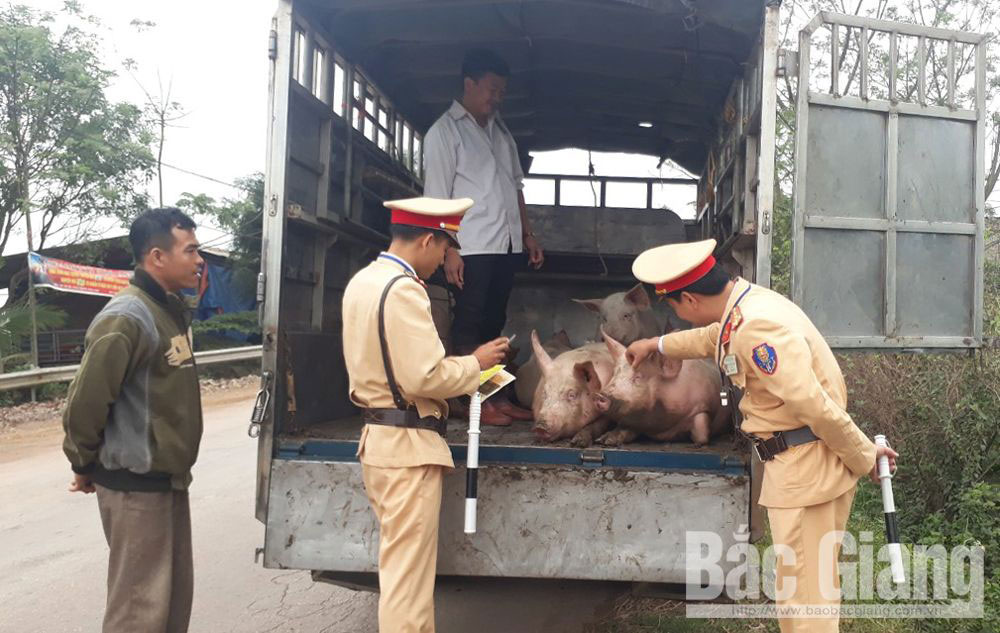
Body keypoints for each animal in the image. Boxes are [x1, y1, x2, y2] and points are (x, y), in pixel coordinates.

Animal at [588, 328, 732, 446]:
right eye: (615, 373)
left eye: (638, 377)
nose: (600, 395)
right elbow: (625, 427)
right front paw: (604, 441)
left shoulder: (703, 406)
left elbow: (701, 435)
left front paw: (691, 440)